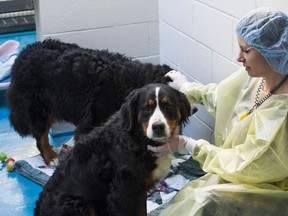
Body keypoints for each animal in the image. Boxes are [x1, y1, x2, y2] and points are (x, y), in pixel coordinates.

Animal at [33, 83, 196, 216]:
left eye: (168, 106)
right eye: (146, 109)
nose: (158, 127)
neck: (139, 140)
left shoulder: (139, 189)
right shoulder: (123, 193)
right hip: (79, 204)